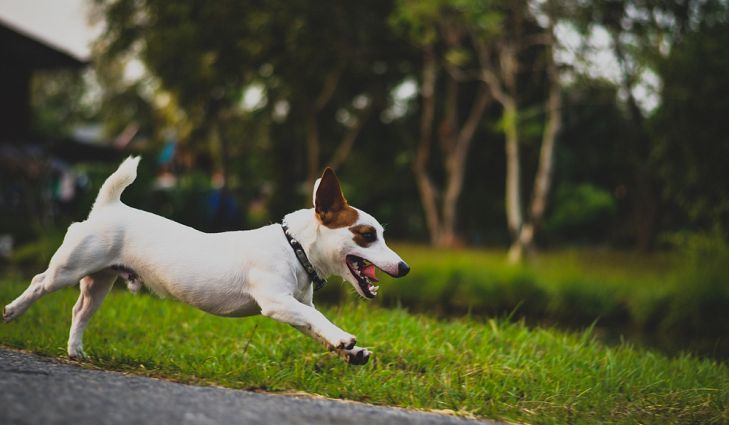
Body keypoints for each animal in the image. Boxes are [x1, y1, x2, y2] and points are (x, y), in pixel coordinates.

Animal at [2, 157, 410, 362]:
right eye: (366, 235)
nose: (405, 267)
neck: (294, 247)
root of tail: (108, 207)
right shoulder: (277, 302)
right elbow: (319, 318)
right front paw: (343, 338)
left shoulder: (294, 307)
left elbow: (313, 323)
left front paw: (350, 351)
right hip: (70, 268)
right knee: (39, 283)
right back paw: (13, 311)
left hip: (100, 281)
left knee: (80, 312)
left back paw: (75, 350)